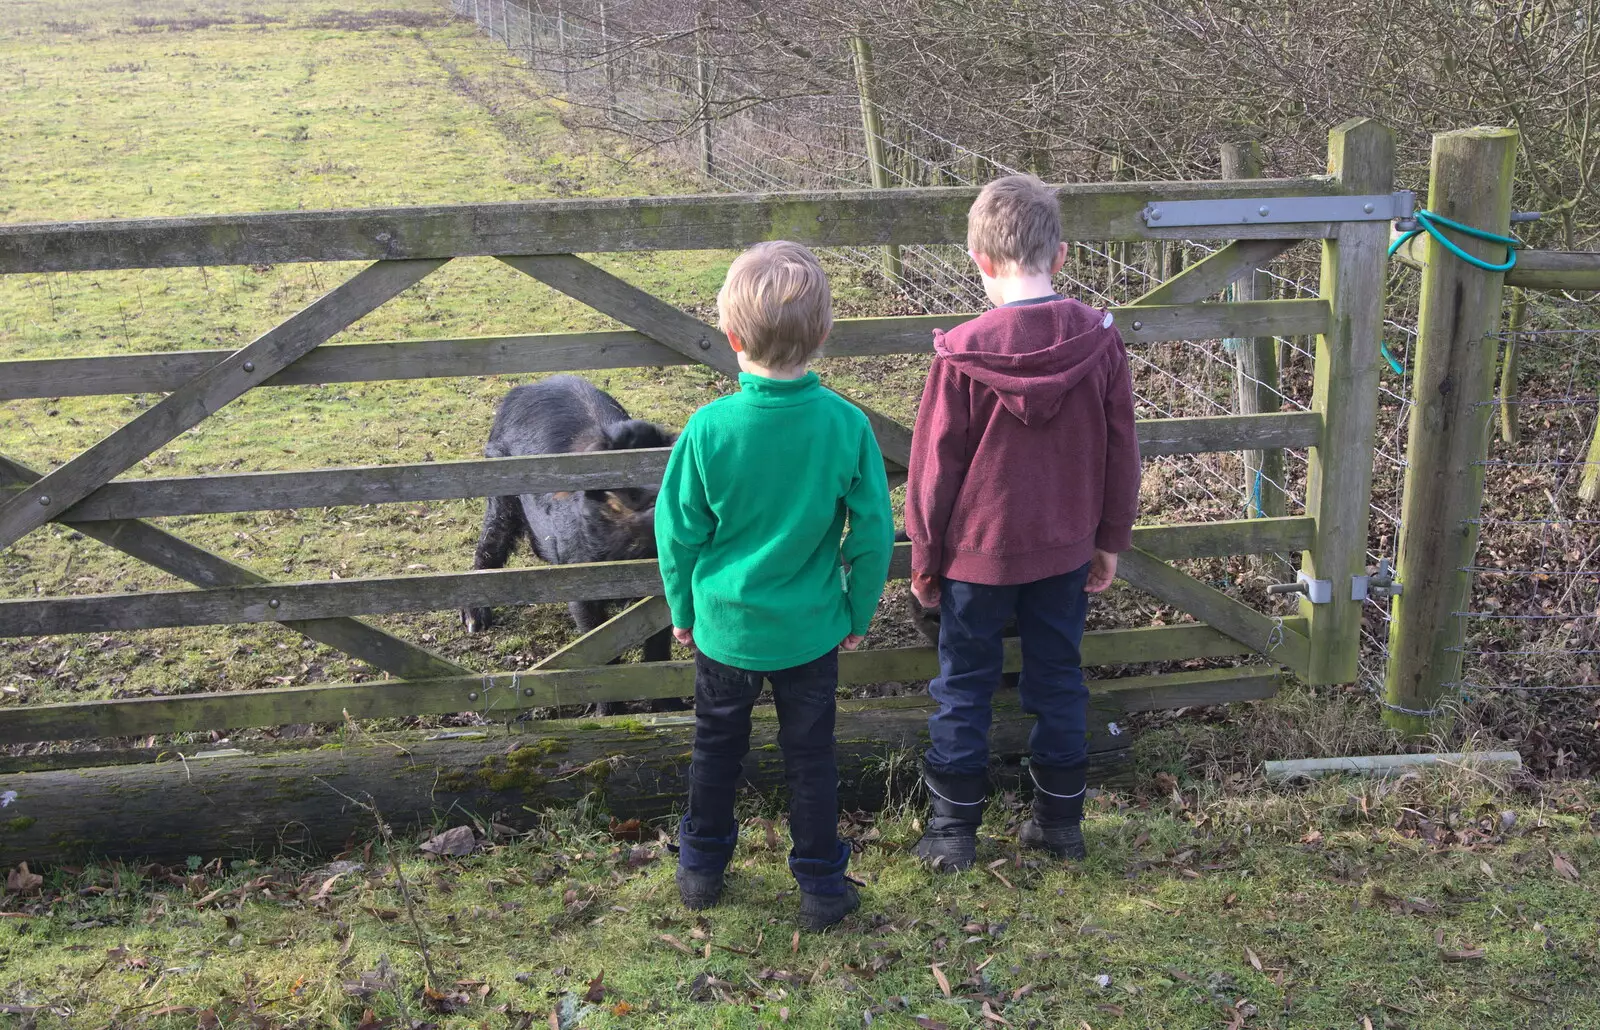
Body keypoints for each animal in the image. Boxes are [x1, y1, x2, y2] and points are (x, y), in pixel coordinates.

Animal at [467, 377, 684, 716]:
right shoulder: (579, 579)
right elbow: (599, 646)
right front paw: (608, 714)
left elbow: (659, 646)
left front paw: (671, 708)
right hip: (499, 487)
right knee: (490, 542)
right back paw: (475, 624)